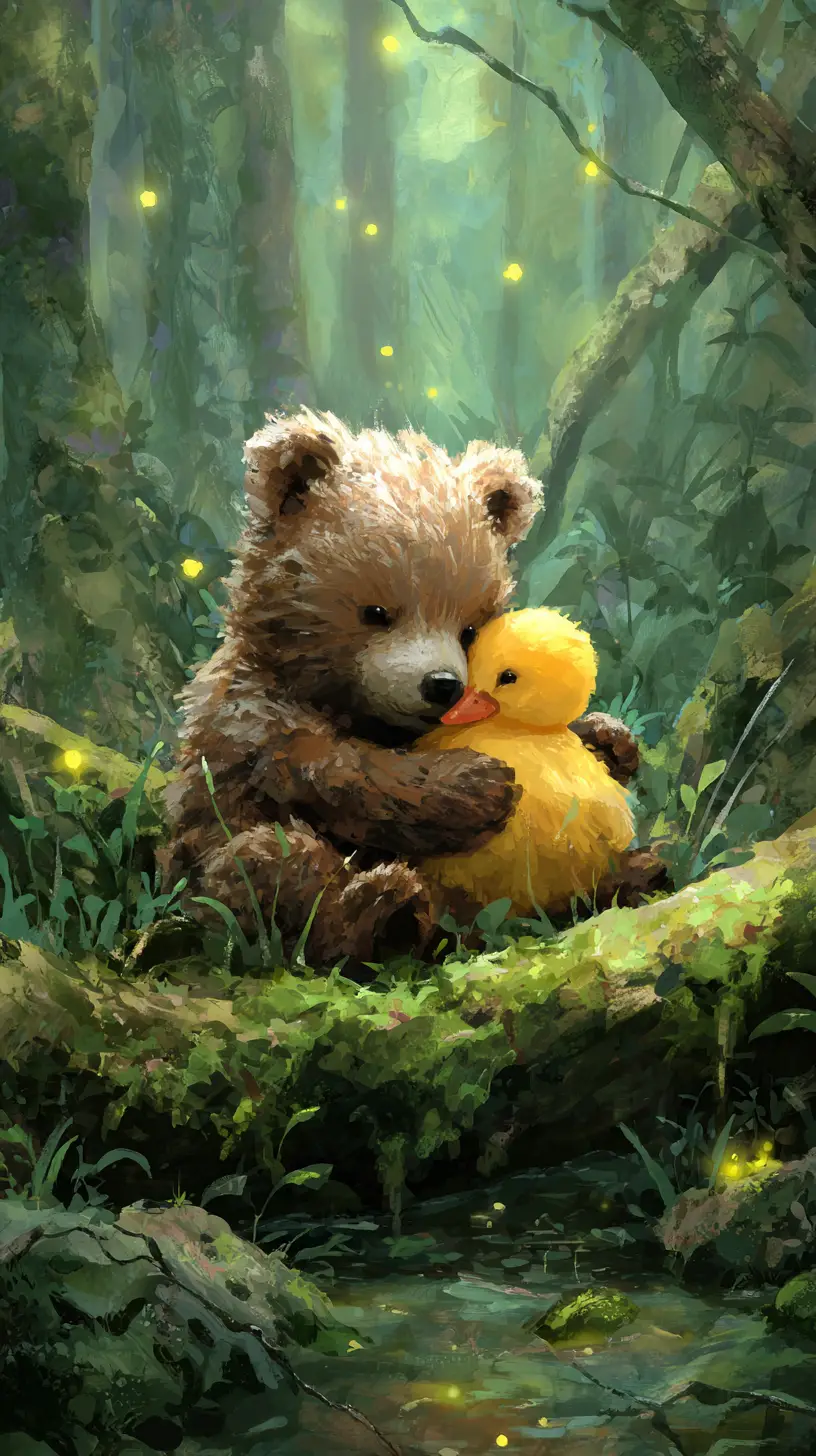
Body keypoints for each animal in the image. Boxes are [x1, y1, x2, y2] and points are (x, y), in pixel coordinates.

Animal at [163, 408, 646, 967]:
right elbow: (333, 772)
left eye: (469, 629)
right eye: (376, 612)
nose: (443, 686)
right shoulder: (253, 716)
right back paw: (383, 910)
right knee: (271, 862)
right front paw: (474, 784)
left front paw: (610, 738)